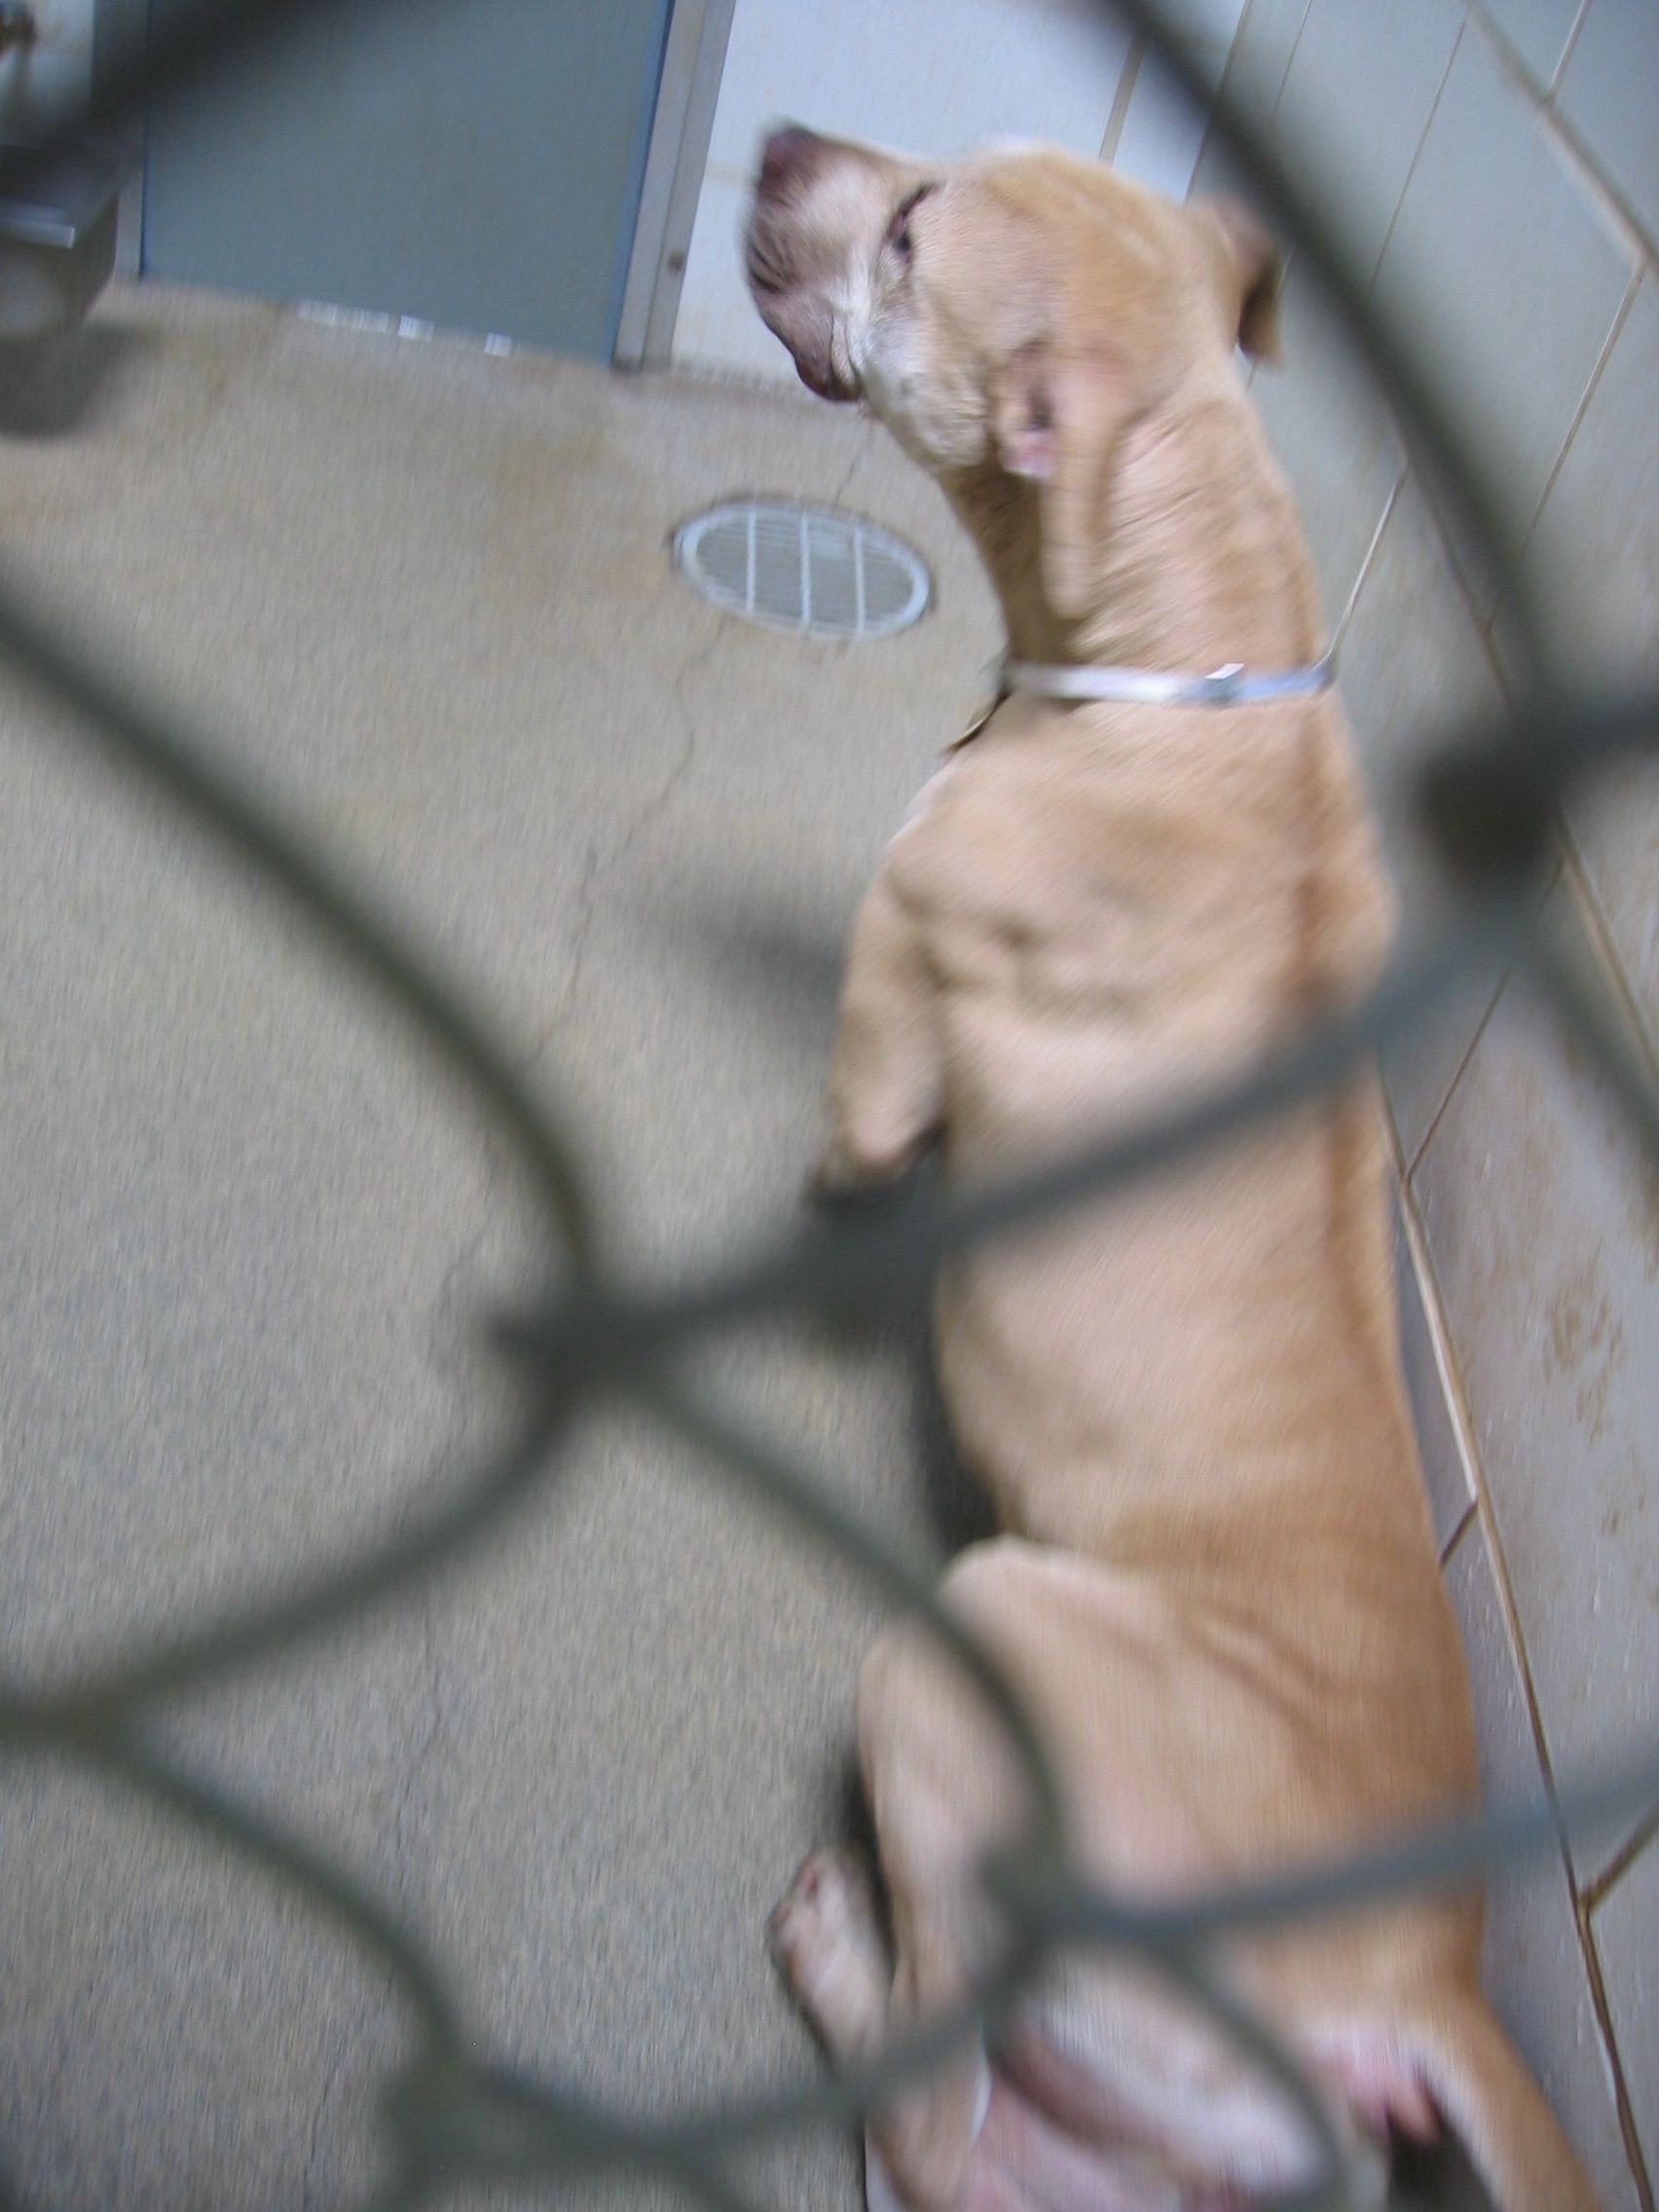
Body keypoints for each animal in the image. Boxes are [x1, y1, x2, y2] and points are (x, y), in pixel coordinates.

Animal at [743, 125, 1595, 2212]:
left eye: (908, 234)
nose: (784, 142)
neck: (1192, 653)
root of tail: (1408, 1976)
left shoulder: (896, 984)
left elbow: (857, 1131)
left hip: (969, 1650)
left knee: (925, 2112)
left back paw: (832, 1953)